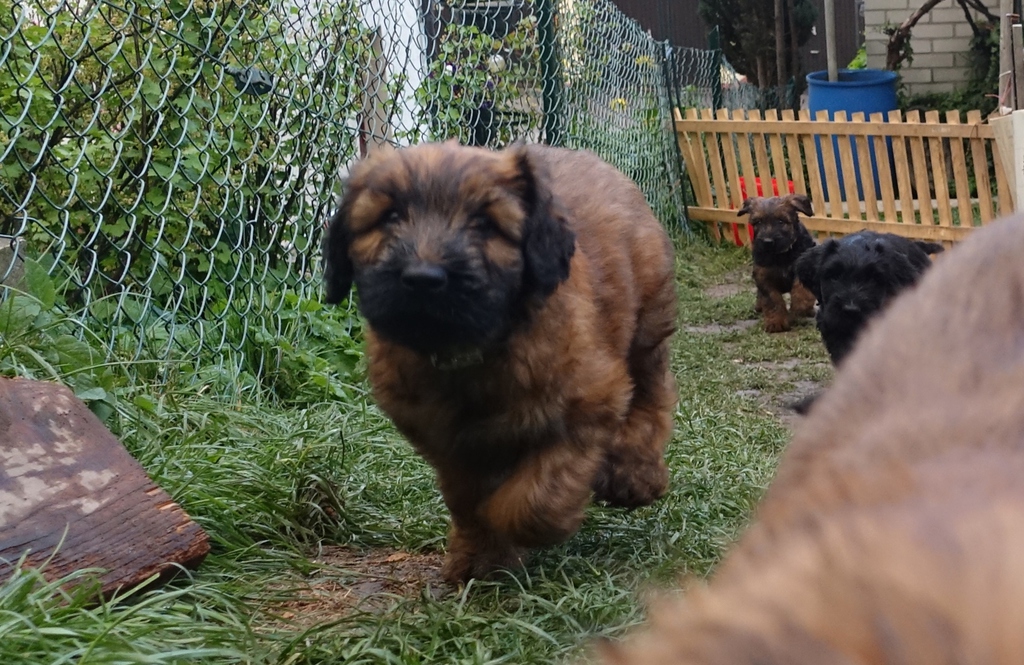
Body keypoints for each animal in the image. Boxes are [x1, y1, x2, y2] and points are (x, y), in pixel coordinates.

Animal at [322, 142, 678, 583]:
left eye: (485, 223)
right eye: (389, 217)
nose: (423, 278)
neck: (472, 354)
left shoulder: (587, 404)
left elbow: (533, 500)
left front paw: (522, 529)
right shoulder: (447, 443)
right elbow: (469, 501)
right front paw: (480, 557)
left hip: (647, 323)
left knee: (651, 392)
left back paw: (633, 475)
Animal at [738, 195, 817, 333]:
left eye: (781, 221)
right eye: (757, 222)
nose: (767, 242)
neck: (780, 255)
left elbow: (801, 290)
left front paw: (800, 307)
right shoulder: (763, 277)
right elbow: (772, 301)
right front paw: (776, 322)